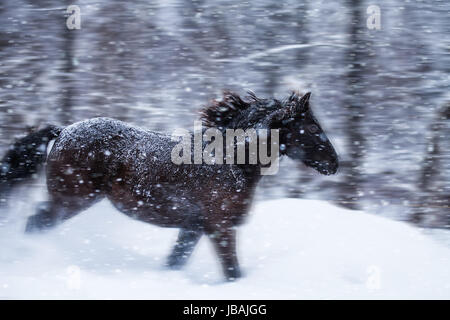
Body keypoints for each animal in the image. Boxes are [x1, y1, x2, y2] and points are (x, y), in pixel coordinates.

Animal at [0, 91, 338, 282]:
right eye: (313, 128)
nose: (334, 163)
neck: (230, 162)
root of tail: (62, 131)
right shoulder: (220, 228)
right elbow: (232, 272)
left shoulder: (193, 228)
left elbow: (174, 262)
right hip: (70, 200)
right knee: (35, 224)